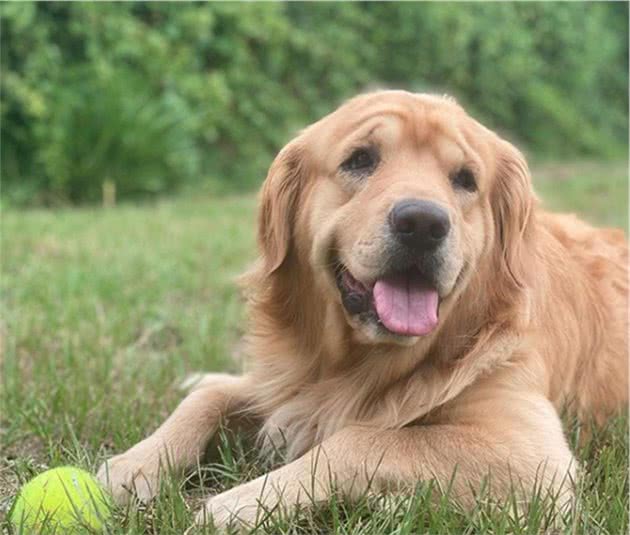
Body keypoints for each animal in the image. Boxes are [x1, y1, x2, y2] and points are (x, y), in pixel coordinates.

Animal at [96, 92, 628, 528]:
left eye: (465, 179)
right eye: (360, 159)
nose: (422, 223)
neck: (359, 364)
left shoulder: (533, 454)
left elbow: (364, 438)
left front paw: (241, 502)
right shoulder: (291, 385)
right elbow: (208, 401)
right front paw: (131, 466)